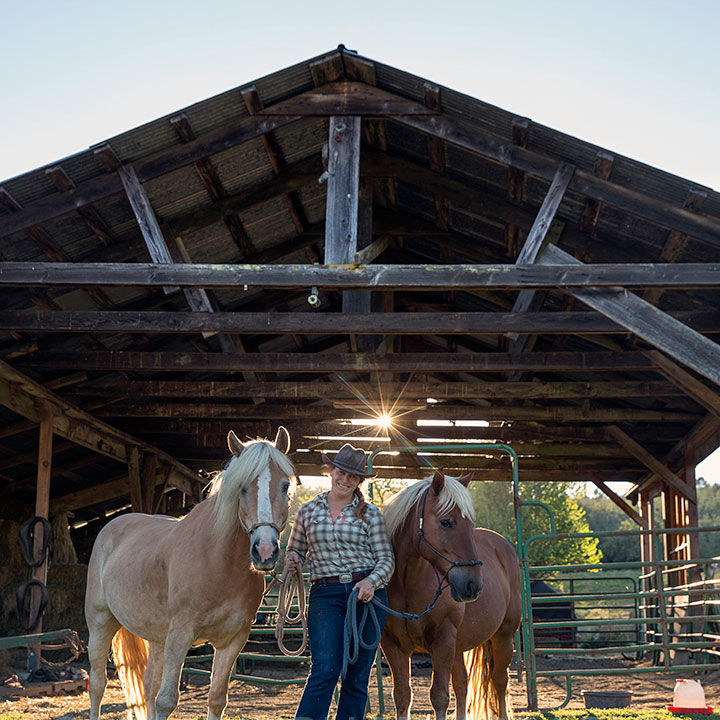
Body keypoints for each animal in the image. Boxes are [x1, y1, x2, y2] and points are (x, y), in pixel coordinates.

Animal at [85, 428, 296, 720]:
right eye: (241, 488)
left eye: (285, 486)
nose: (265, 551)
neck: (220, 563)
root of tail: (112, 526)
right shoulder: (180, 635)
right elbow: (167, 700)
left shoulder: (233, 641)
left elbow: (216, 698)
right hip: (101, 622)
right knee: (98, 684)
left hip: (157, 637)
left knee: (148, 684)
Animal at [380, 472, 520, 720]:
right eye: (446, 522)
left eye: (470, 524)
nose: (473, 584)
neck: (409, 586)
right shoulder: (393, 645)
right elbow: (402, 696)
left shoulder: (443, 641)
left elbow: (439, 697)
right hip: (459, 646)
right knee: (462, 684)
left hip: (503, 636)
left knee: (499, 681)